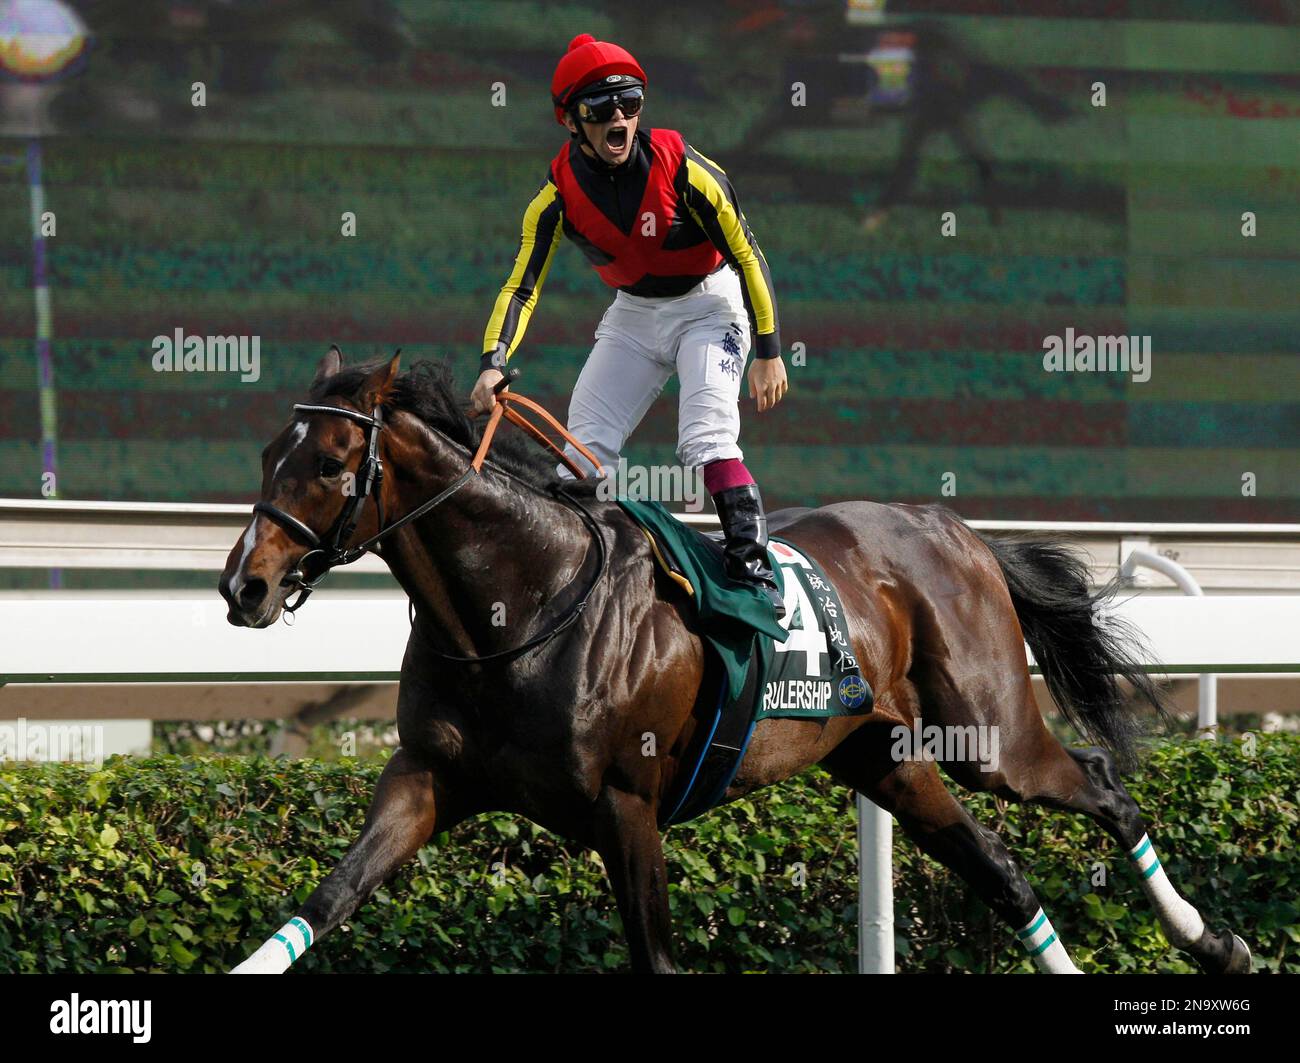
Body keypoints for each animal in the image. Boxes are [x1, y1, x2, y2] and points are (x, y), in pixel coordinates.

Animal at [220, 349, 1251, 974]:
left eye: (329, 461)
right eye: (269, 450)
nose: (244, 585)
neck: (519, 609)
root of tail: (951, 527)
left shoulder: (627, 806)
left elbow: (658, 956)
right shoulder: (427, 776)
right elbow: (330, 895)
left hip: (987, 735)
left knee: (1104, 785)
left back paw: (1214, 940)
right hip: (883, 755)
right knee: (1002, 872)